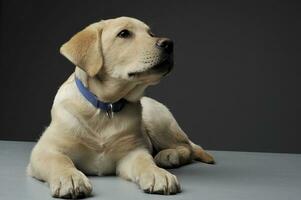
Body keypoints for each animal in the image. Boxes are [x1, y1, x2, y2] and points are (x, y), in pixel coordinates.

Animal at [26, 16, 213, 198]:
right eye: (124, 33)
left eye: (151, 34)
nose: (169, 43)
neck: (106, 107)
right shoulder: (45, 149)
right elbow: (59, 161)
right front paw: (70, 178)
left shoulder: (133, 152)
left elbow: (145, 161)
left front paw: (158, 174)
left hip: (157, 120)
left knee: (187, 148)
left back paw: (168, 155)